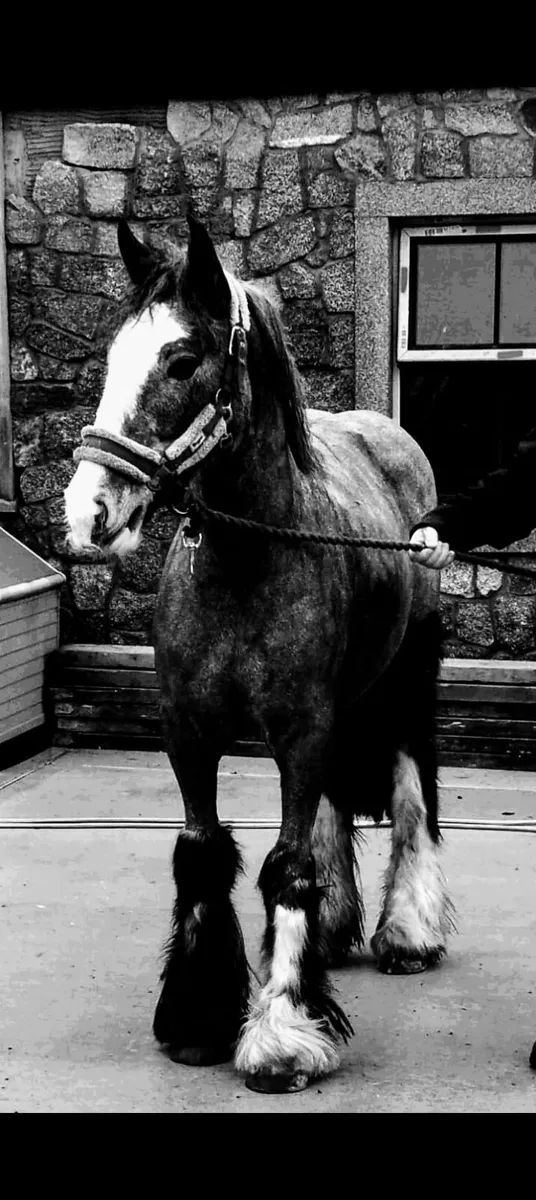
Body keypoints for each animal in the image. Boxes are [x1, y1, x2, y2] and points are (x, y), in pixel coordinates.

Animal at [64, 214, 453, 1094]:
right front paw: (197, 1020)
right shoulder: (189, 731)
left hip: (407, 678)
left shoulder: (301, 730)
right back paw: (336, 926)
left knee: (411, 788)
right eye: (112, 353)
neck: (247, 558)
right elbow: (204, 855)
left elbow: (287, 864)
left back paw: (406, 932)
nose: (89, 509)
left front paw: (281, 1036)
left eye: (182, 360)